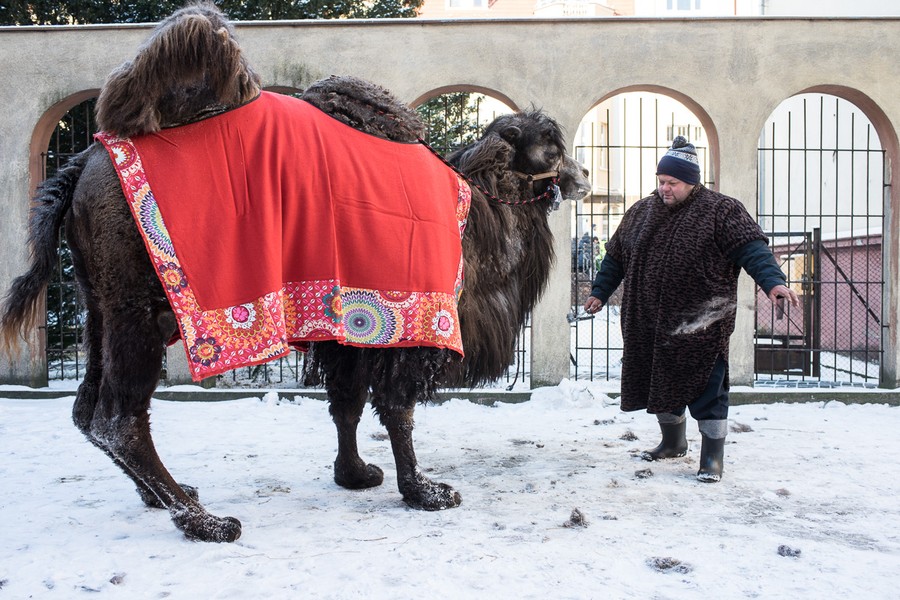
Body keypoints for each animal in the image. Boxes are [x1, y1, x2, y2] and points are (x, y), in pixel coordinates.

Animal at [1, 2, 591, 542]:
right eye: (550, 144)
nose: (583, 176)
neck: (472, 213)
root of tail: (79, 165)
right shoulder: (410, 320)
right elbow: (397, 407)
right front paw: (426, 492)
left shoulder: (347, 326)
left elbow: (347, 403)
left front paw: (355, 475)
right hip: (141, 312)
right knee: (118, 419)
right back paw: (204, 521)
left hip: (99, 304)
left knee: (87, 411)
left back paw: (167, 496)